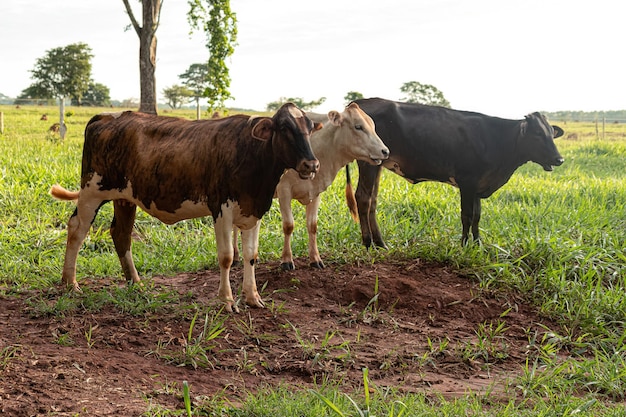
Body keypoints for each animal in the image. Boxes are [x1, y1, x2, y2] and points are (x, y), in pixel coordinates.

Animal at [50, 103, 320, 312]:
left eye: (309, 128)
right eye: (284, 128)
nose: (312, 164)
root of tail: (107, 116)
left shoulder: (253, 210)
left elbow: (251, 255)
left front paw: (253, 297)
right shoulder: (221, 208)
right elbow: (226, 257)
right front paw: (226, 300)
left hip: (125, 197)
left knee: (121, 234)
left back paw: (135, 282)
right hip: (92, 191)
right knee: (77, 229)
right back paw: (70, 282)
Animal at [234, 102, 388, 268]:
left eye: (372, 126)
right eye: (358, 126)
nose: (385, 151)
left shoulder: (316, 192)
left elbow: (312, 226)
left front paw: (315, 259)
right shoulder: (284, 191)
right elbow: (288, 225)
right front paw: (286, 260)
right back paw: (236, 256)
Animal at [348, 96, 564, 247]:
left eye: (551, 134)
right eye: (537, 134)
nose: (559, 159)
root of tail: (359, 103)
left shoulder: (478, 185)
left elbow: (477, 216)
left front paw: (478, 244)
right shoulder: (467, 181)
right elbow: (466, 215)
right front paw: (464, 245)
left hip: (378, 163)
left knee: (373, 200)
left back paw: (380, 244)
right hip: (368, 163)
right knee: (363, 198)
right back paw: (368, 244)